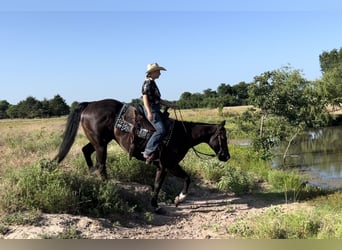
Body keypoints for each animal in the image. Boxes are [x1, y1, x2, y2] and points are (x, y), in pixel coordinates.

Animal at [54, 98, 230, 210]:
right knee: (101, 165)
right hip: (101, 145)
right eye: (223, 137)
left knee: (86, 151)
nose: (226, 156)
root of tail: (90, 104)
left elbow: (173, 181)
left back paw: (91, 172)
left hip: (100, 142)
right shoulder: (168, 165)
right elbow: (166, 183)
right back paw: (107, 186)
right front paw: (170, 201)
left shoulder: (166, 165)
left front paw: (169, 201)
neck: (182, 134)